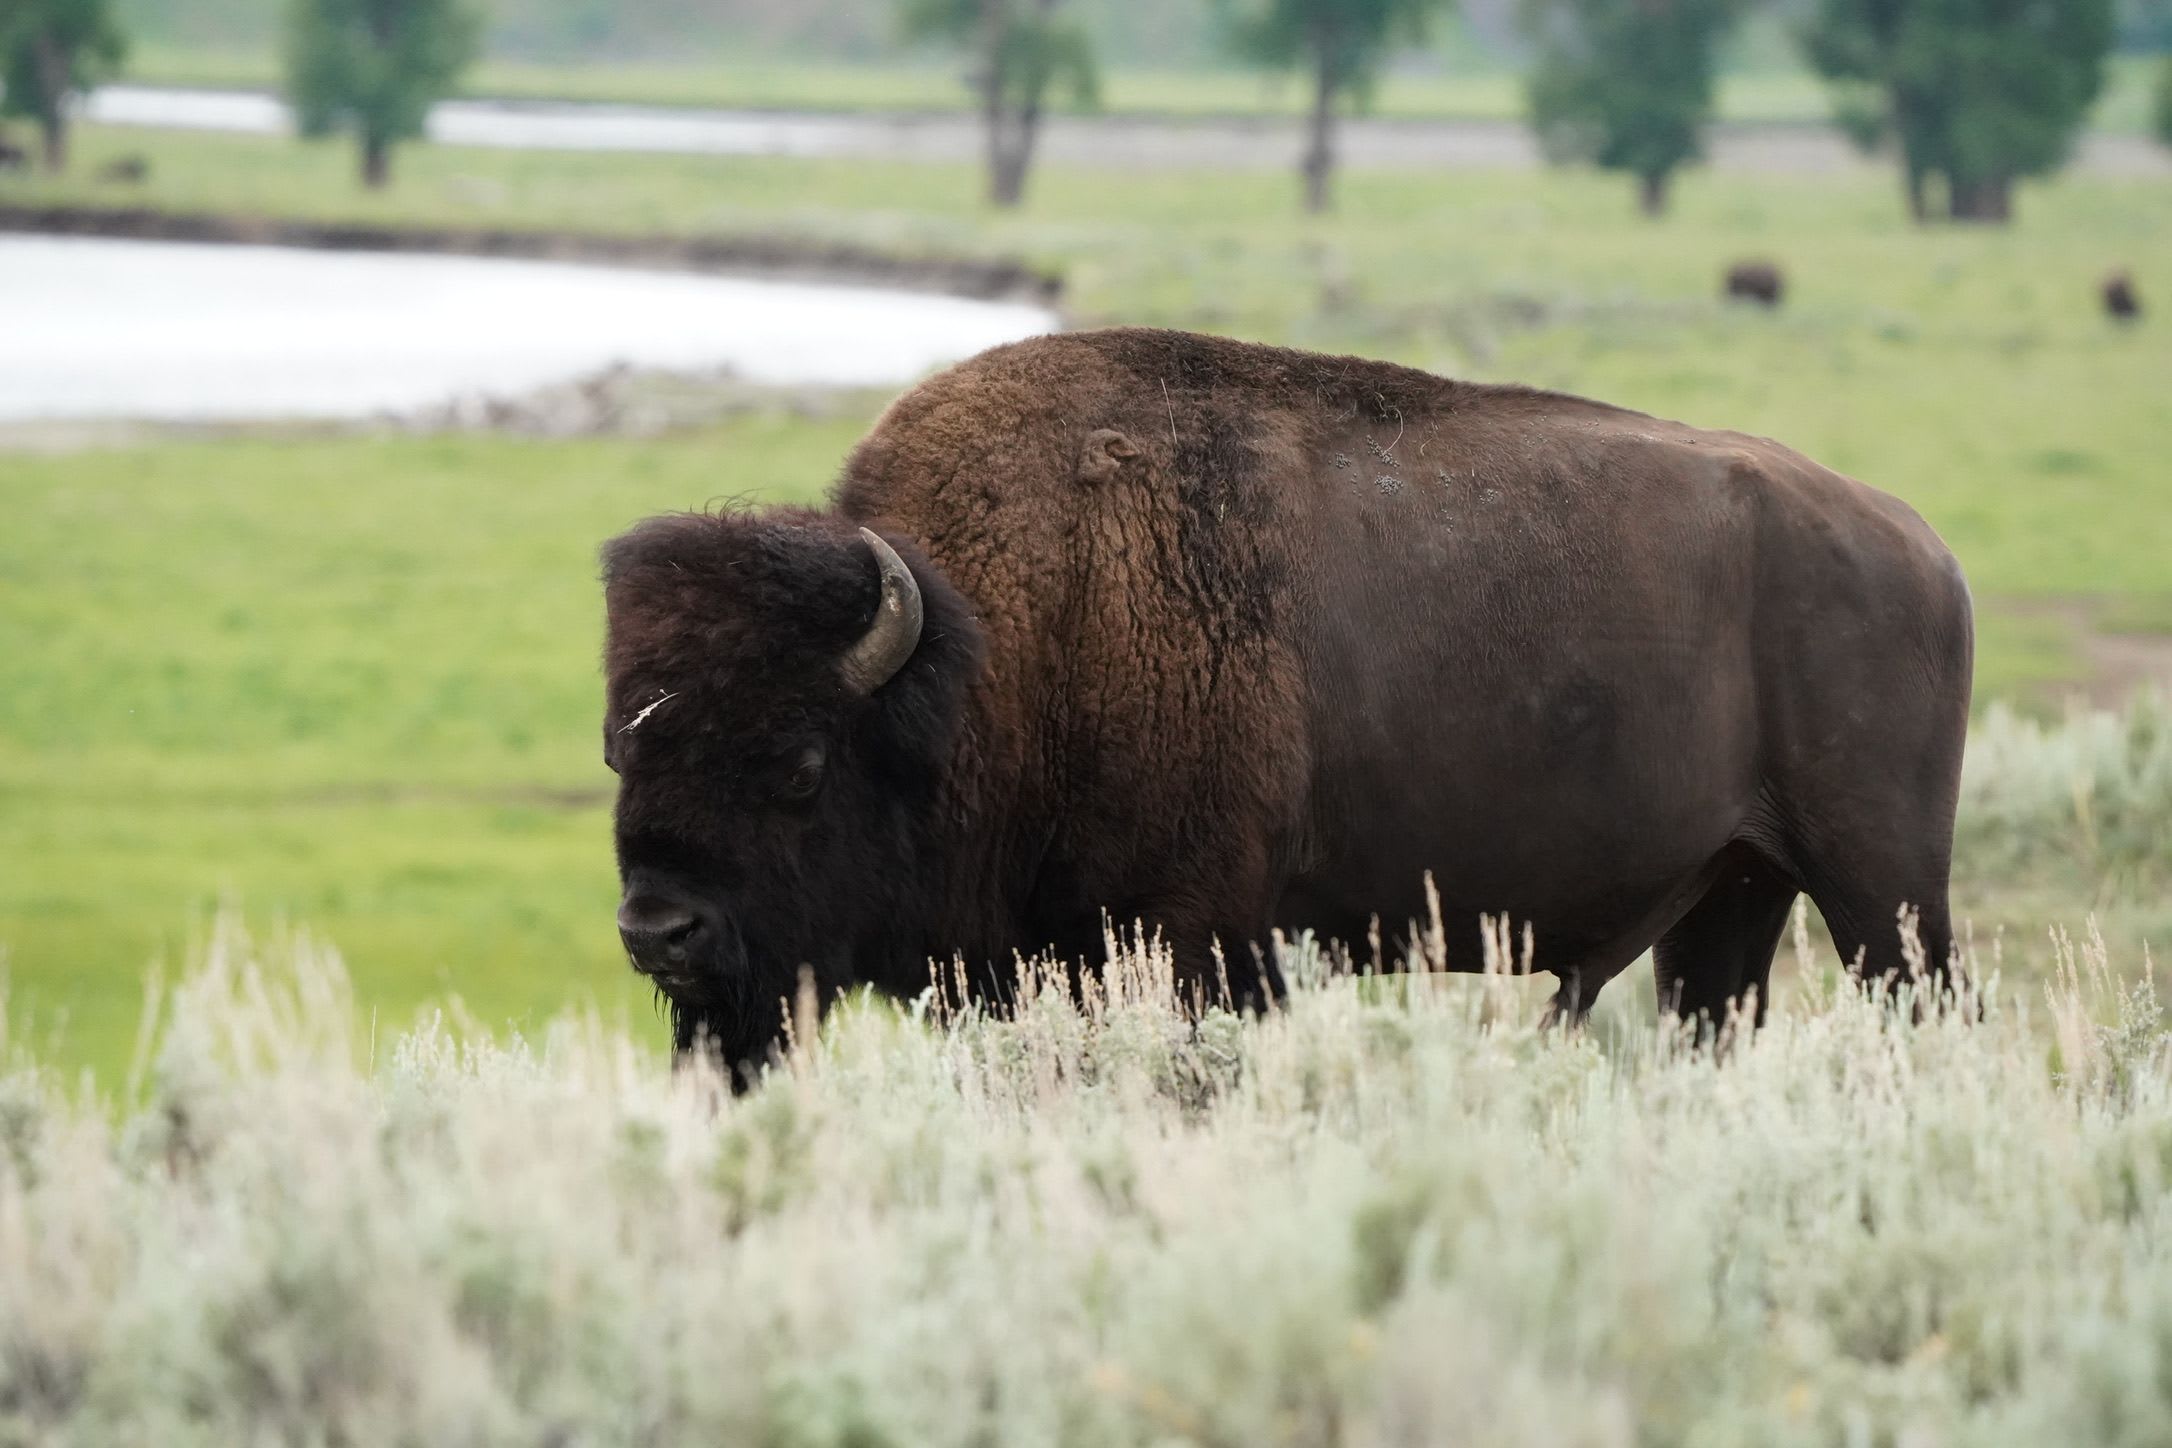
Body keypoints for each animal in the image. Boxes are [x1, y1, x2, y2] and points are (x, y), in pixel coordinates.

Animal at [602, 328, 1972, 1078]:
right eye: (625, 749)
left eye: (799, 764)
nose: (660, 930)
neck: (988, 648)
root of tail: (1919, 546)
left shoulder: (1193, 939)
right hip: (1736, 888)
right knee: (1713, 1014)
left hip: (1881, 887)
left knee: (1927, 1003)